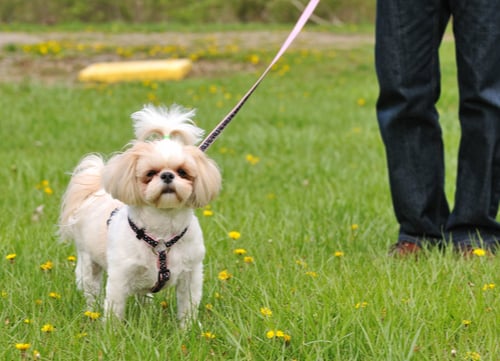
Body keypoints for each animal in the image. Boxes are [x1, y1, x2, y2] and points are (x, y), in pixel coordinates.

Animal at [58, 104, 221, 326]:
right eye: (150, 173)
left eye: (182, 172)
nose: (167, 175)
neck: (162, 234)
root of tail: (95, 192)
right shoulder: (120, 275)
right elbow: (115, 307)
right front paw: (112, 331)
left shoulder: (191, 273)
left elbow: (188, 306)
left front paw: (187, 329)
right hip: (87, 264)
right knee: (91, 292)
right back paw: (92, 312)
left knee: (144, 296)